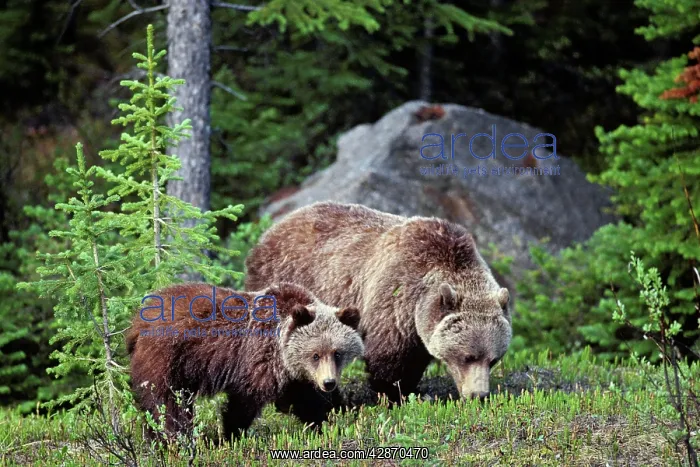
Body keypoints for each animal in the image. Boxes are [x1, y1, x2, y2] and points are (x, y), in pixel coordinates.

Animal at [126, 281, 364, 442]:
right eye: (315, 355)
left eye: (337, 353)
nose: (329, 383)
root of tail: (137, 321)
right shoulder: (259, 358)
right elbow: (245, 400)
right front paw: (230, 435)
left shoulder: (294, 375)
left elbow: (307, 401)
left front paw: (325, 426)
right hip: (166, 358)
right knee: (165, 402)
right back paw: (175, 438)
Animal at [245, 201, 512, 404]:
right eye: (467, 357)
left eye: (493, 359)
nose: (479, 395)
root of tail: (270, 230)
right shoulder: (396, 299)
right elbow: (390, 358)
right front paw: (397, 393)